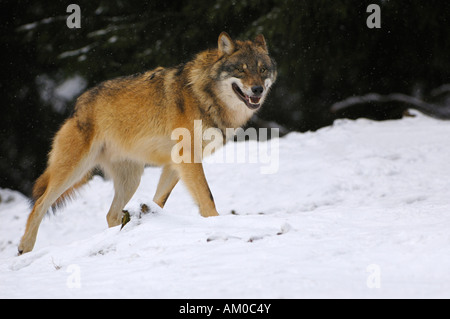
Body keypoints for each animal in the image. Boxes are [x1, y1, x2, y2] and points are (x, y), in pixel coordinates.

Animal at [17, 31, 276, 255]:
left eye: (262, 69)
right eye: (240, 70)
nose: (257, 89)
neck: (205, 95)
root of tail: (77, 105)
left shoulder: (175, 164)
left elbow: (158, 201)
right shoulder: (188, 159)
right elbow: (207, 198)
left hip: (130, 180)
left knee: (110, 214)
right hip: (73, 171)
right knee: (39, 204)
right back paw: (24, 248)